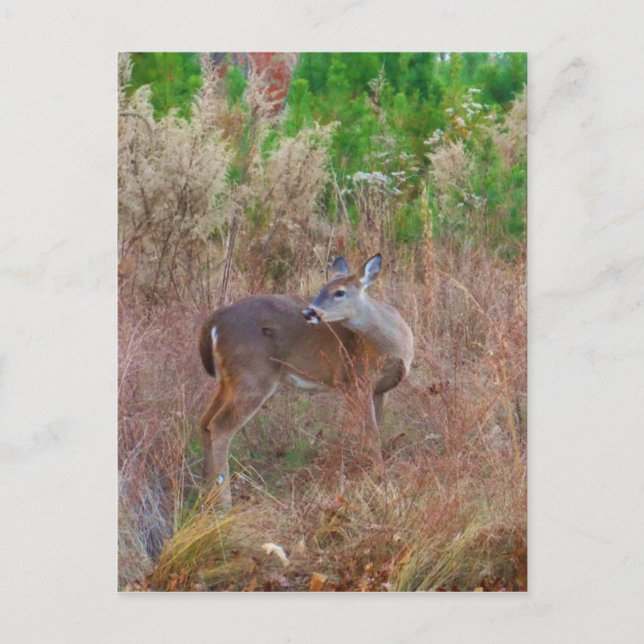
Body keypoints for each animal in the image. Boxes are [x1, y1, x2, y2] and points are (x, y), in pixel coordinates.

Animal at [198, 253, 414, 508]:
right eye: (322, 288)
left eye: (339, 292)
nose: (310, 312)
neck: (394, 346)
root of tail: (213, 323)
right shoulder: (355, 380)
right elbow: (371, 433)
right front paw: (380, 479)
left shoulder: (379, 390)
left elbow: (374, 429)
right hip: (253, 376)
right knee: (219, 427)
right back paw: (224, 503)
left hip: (228, 380)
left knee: (204, 421)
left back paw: (205, 494)